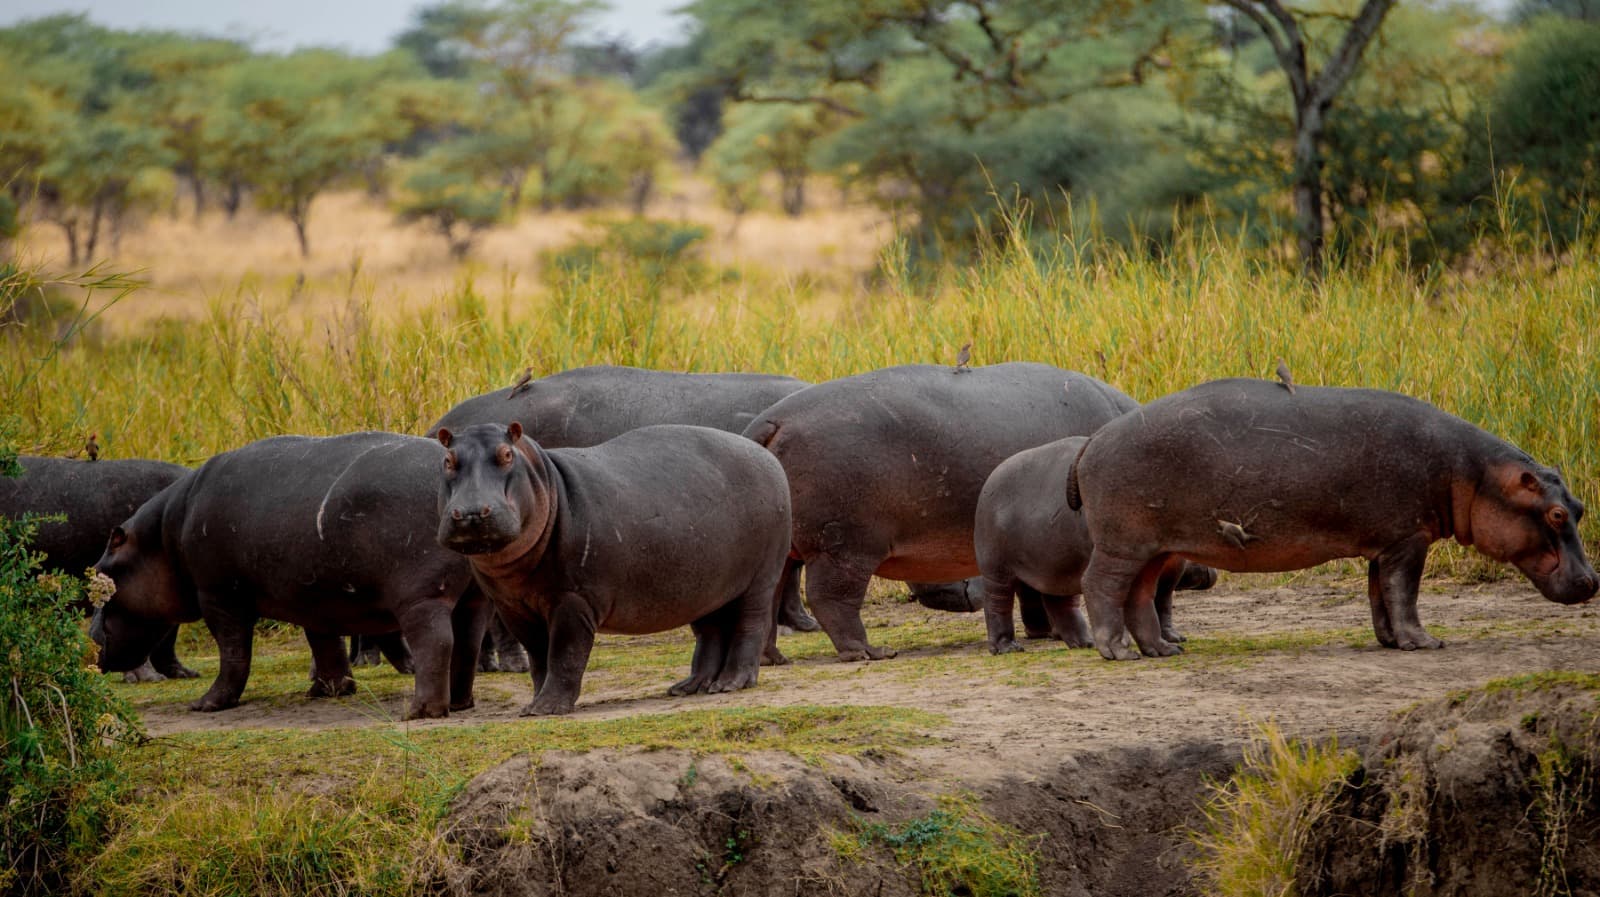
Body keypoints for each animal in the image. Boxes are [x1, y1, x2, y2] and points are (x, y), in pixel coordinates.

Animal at [91, 433, 487, 718]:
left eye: (102, 573)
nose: (91, 638)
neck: (161, 539)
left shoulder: (219, 596)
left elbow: (233, 652)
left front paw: (206, 704)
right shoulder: (316, 595)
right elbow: (324, 644)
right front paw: (328, 691)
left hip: (422, 598)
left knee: (435, 643)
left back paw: (421, 711)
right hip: (472, 598)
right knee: (467, 643)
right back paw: (460, 703)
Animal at [435, 422, 791, 716]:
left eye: (507, 454)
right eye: (448, 460)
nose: (470, 512)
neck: (548, 482)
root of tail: (767, 457)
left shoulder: (573, 600)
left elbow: (565, 653)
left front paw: (548, 708)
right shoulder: (512, 608)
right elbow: (539, 657)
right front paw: (535, 703)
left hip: (760, 579)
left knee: (750, 625)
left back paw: (732, 683)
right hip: (707, 587)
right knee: (711, 631)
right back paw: (691, 687)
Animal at [743, 362, 1139, 661]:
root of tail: (770, 421)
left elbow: (1033, 588)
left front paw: (1044, 632)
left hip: (792, 551)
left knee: (769, 598)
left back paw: (773, 658)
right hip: (843, 546)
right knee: (831, 598)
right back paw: (872, 652)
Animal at [975, 436, 1217, 654]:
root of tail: (992, 477)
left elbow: (1162, 599)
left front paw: (1172, 639)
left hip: (1057, 563)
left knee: (1059, 603)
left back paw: (1085, 642)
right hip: (996, 567)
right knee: (997, 602)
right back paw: (1007, 648)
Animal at [1068, 378, 1599, 660]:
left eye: (1578, 508)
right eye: (1555, 513)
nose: (1592, 581)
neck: (1473, 472)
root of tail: (1093, 440)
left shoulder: (1384, 543)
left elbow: (1380, 595)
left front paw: (1392, 642)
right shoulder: (1409, 539)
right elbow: (1404, 593)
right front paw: (1425, 643)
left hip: (1154, 548)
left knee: (1138, 595)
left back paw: (1162, 651)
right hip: (1122, 544)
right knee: (1101, 584)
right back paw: (1115, 650)